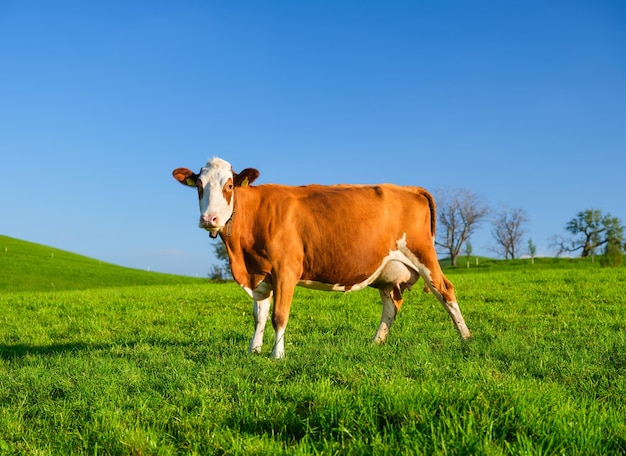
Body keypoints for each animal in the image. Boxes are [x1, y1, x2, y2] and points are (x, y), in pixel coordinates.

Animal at [171, 159, 468, 358]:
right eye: (199, 185)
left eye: (230, 185)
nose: (209, 219)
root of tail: (407, 188)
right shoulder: (260, 275)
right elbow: (259, 316)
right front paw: (253, 351)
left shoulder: (285, 270)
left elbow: (279, 315)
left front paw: (277, 356)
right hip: (387, 270)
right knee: (391, 304)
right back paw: (376, 342)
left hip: (423, 254)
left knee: (446, 291)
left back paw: (466, 338)